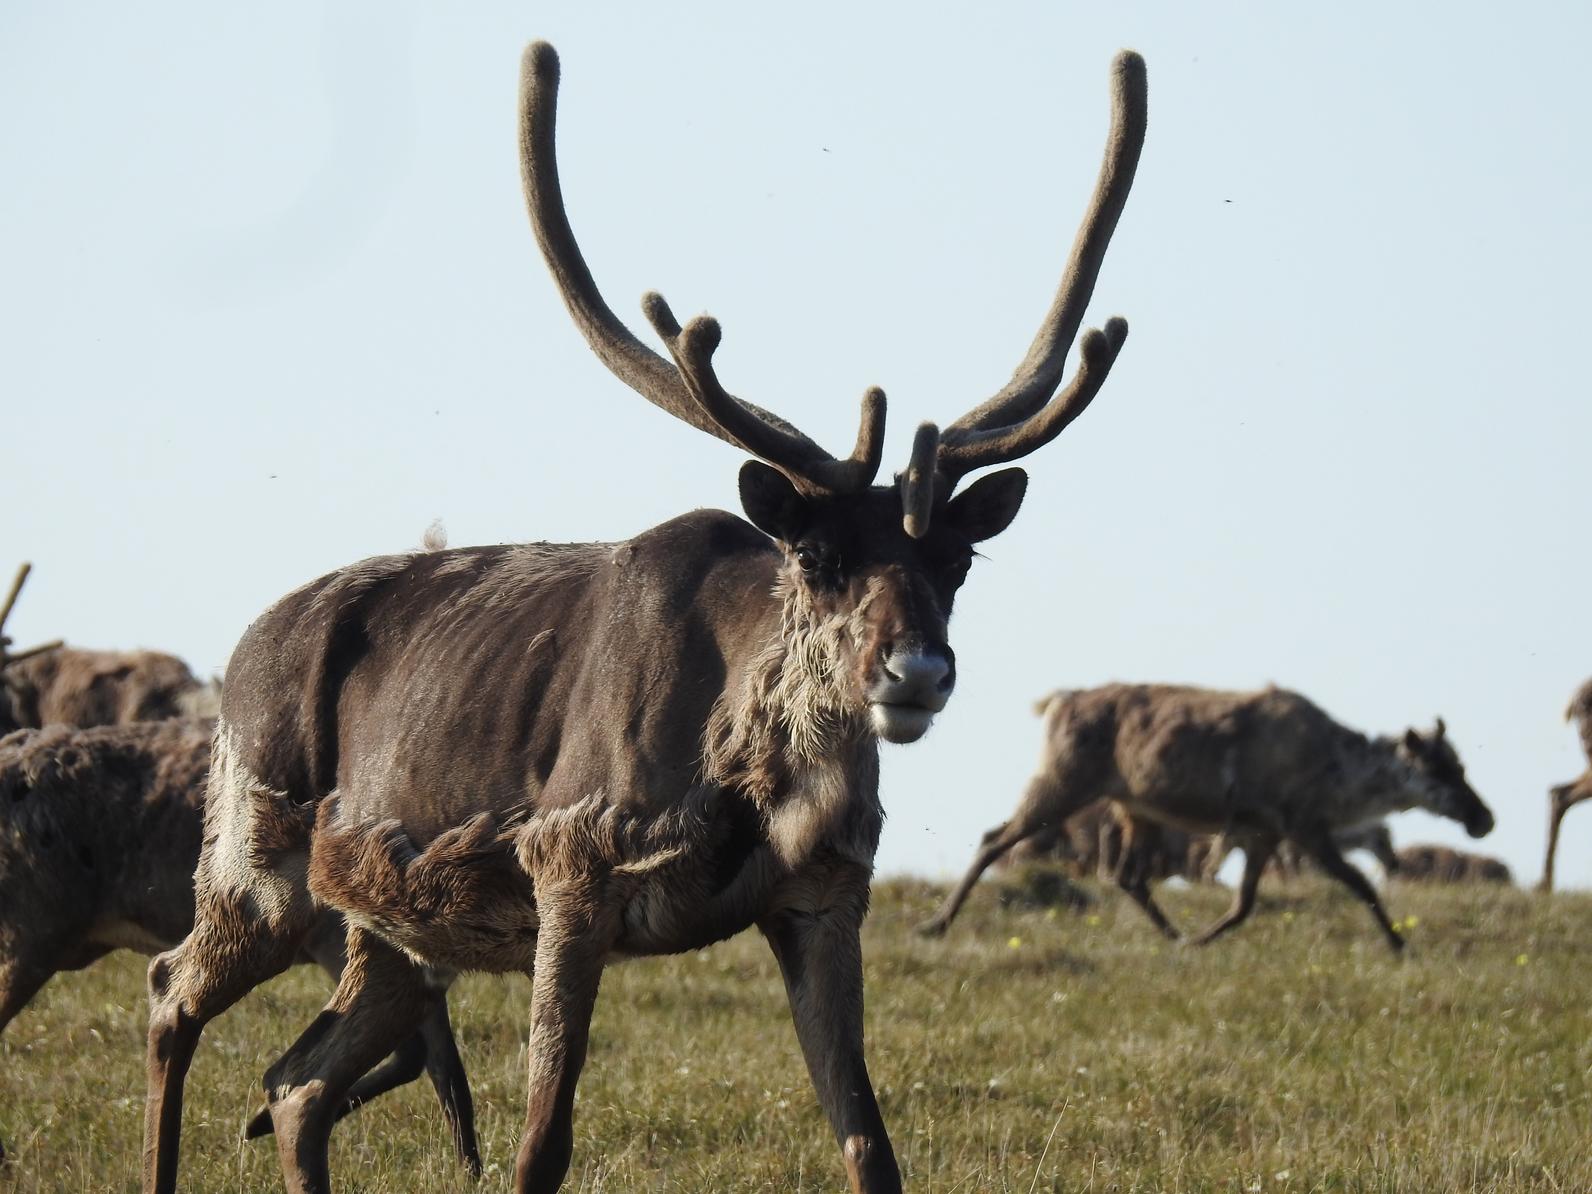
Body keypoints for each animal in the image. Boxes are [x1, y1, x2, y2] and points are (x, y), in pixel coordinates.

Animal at [3, 719, 480, 1178]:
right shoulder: (338, 940)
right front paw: (259, 1123)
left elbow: (443, 1064)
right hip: (32, 934)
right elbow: (413, 1053)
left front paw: (469, 1172)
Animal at [923, 681, 1490, 955]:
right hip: (1063, 783)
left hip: (1136, 809)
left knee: (1127, 876)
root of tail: (1057, 701)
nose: (1484, 818)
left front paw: (1201, 939)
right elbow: (1361, 884)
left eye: (1462, 763)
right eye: (1440, 769)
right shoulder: (1302, 827)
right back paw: (935, 923)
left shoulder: (1262, 835)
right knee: (994, 839)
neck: (1336, 773)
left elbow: (1243, 905)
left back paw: (1174, 936)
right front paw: (1399, 943)